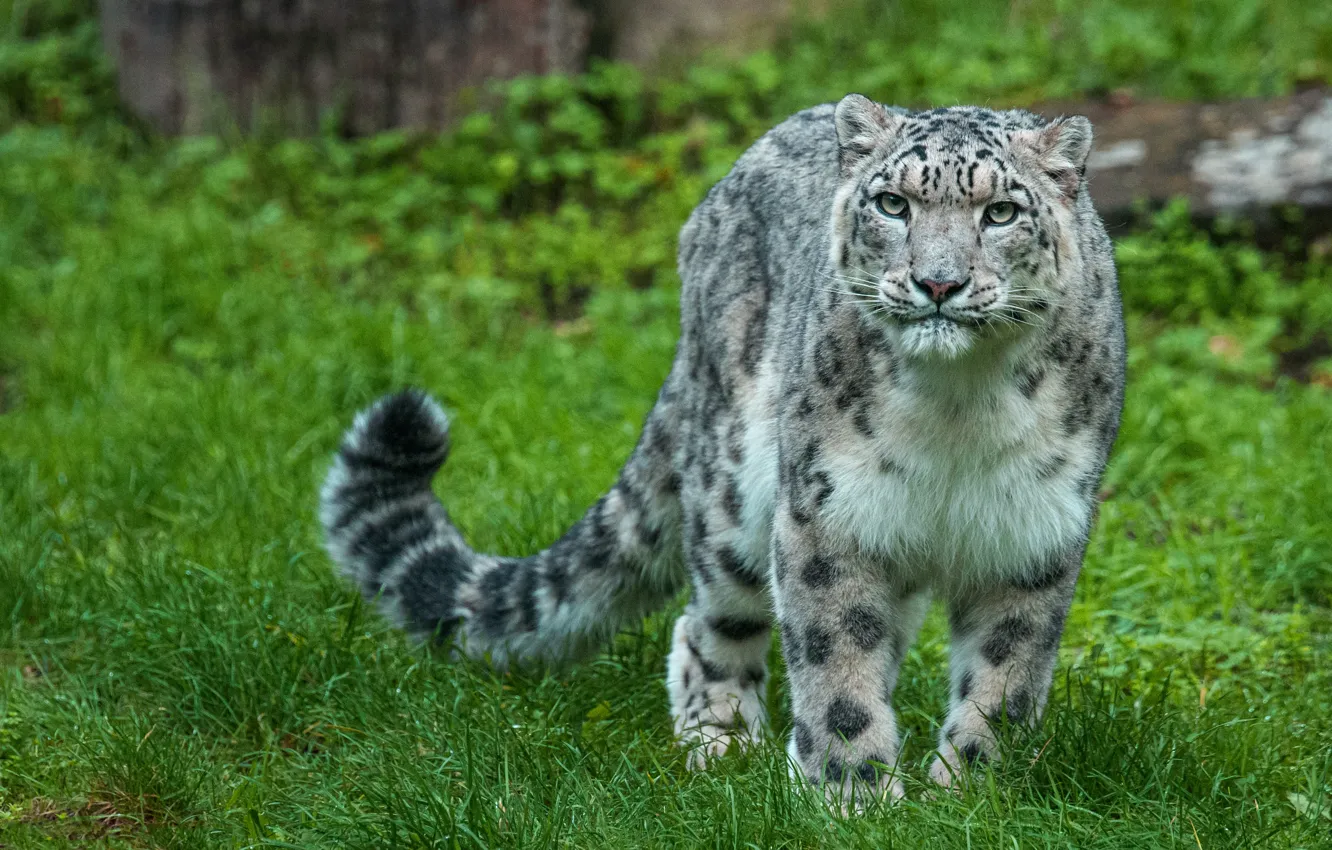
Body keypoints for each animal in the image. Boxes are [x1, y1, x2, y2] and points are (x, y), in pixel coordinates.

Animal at [320, 93, 1126, 804]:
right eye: (893, 204)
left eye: (1002, 213)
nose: (937, 283)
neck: (961, 409)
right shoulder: (827, 515)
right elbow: (836, 663)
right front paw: (858, 796)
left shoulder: (1033, 533)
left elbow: (1005, 678)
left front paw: (971, 791)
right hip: (736, 487)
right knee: (709, 620)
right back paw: (724, 743)